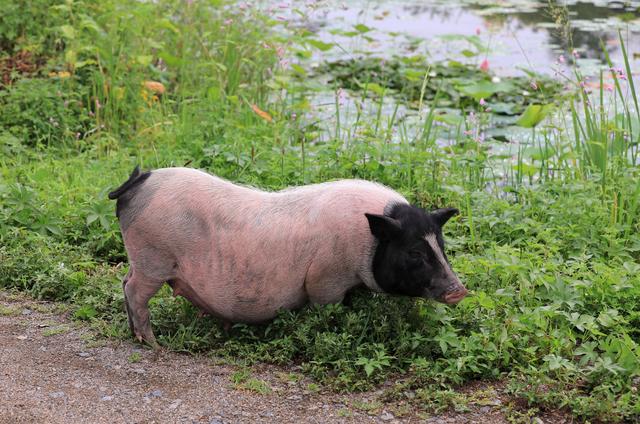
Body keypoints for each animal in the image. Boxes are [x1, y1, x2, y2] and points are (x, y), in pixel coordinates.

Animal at [107, 164, 468, 346]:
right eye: (415, 252)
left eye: (441, 245)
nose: (460, 291)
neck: (366, 242)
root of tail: (139, 180)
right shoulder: (326, 279)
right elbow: (329, 309)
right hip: (152, 258)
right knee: (134, 290)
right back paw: (152, 344)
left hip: (143, 259)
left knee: (124, 282)